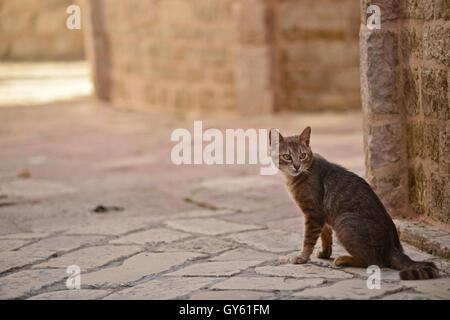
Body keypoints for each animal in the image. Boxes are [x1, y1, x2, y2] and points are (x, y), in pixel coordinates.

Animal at [270, 125, 440, 280]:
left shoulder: (313, 214)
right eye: (287, 156)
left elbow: (308, 239)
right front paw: (325, 253)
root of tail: (393, 247)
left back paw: (345, 259)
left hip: (344, 222)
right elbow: (325, 235)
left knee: (375, 261)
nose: (296, 166)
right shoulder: (322, 216)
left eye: (302, 155)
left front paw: (302, 257)